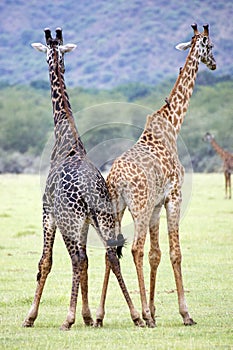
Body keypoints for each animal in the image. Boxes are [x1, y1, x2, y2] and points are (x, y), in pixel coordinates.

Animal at [22, 28, 142, 330]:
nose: (61, 66)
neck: (66, 140)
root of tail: (87, 190)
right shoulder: (86, 221)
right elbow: (88, 263)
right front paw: (87, 316)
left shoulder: (48, 212)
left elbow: (45, 262)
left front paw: (30, 316)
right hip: (104, 217)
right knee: (109, 255)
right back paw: (136, 315)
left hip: (69, 220)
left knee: (76, 258)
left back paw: (67, 319)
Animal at [95, 23, 217, 328]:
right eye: (211, 47)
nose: (214, 63)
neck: (173, 124)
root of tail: (116, 179)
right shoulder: (173, 196)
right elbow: (174, 253)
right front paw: (185, 314)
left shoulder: (156, 205)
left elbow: (156, 254)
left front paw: (154, 307)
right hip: (137, 205)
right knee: (134, 248)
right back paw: (142, 317)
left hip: (116, 208)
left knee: (111, 251)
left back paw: (101, 316)